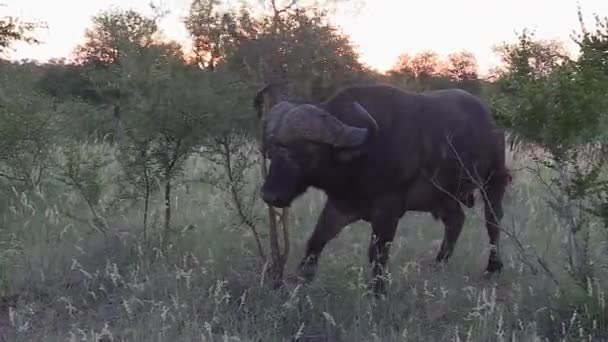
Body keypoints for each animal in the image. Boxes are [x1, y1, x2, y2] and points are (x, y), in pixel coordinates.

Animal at [254, 83, 510, 296]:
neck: (363, 154)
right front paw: (300, 280)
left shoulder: (388, 211)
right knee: (456, 220)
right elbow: (317, 240)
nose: (269, 195)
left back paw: (493, 267)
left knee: (493, 220)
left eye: (304, 153)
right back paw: (438, 264)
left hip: (493, 181)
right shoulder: (341, 205)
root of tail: (491, 126)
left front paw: (378, 293)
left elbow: (378, 254)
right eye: (272, 152)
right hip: (442, 197)